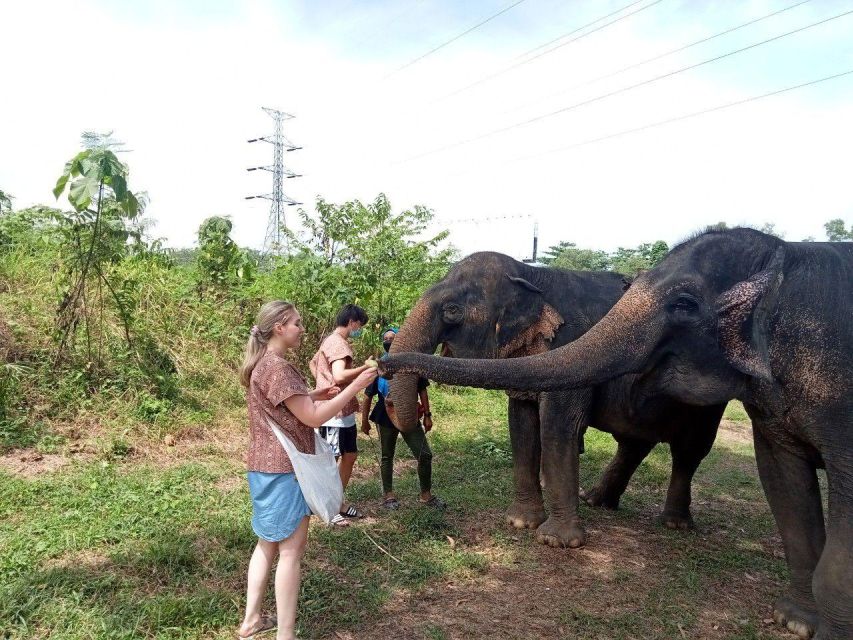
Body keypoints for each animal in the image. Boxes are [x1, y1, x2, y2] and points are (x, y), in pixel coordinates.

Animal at [386, 252, 724, 548]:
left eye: (452, 310)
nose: (384, 363)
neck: (534, 275)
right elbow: (521, 423)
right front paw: (520, 523)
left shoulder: (571, 345)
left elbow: (558, 425)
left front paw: (556, 541)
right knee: (635, 442)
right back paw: (597, 501)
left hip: (707, 394)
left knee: (690, 450)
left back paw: (675, 524)